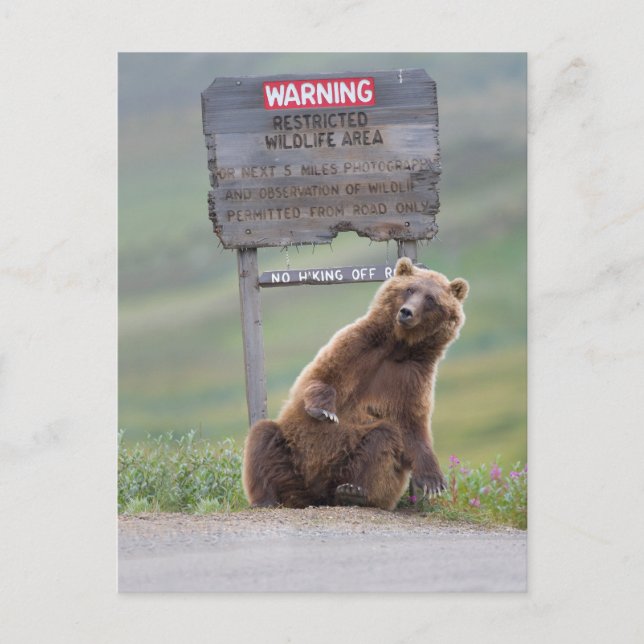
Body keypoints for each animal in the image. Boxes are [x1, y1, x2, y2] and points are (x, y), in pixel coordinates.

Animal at [242, 256, 469, 511]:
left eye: (431, 299)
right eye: (409, 289)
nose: (406, 312)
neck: (397, 346)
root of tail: (315, 497)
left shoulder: (412, 376)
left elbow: (412, 423)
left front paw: (433, 480)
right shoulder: (358, 346)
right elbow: (321, 376)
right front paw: (325, 411)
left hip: (346, 463)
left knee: (382, 438)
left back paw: (354, 492)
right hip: (292, 451)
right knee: (263, 438)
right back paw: (266, 499)